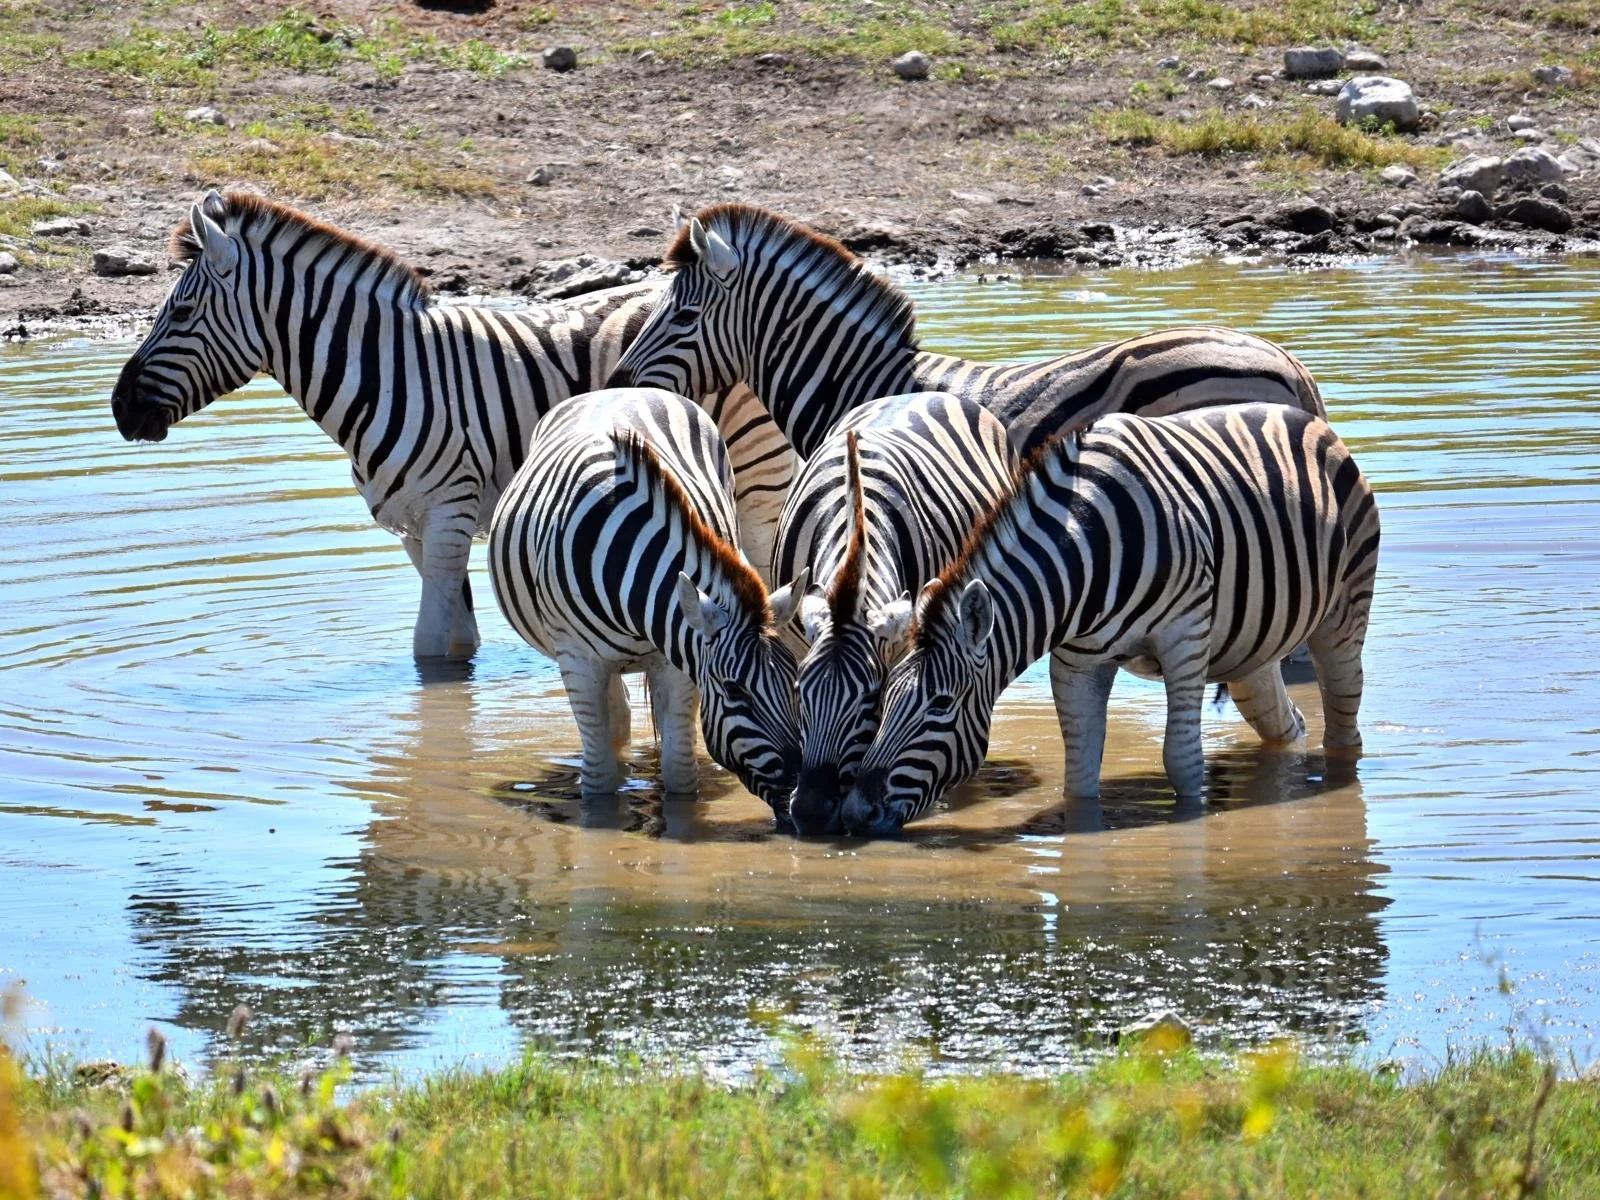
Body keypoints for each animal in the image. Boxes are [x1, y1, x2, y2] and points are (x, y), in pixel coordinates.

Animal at [108, 190, 794, 661]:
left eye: (182, 312)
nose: (118, 409)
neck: (388, 371)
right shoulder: (414, 526)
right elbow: (456, 641)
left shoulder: (449, 513)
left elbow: (430, 648)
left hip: (758, 476)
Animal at [487, 387, 807, 805]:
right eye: (734, 689)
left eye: (795, 682)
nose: (800, 795)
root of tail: (620, 389)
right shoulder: (577, 660)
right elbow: (599, 777)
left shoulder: (679, 660)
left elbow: (680, 772)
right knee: (616, 726)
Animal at [838, 402, 1380, 836]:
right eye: (882, 699)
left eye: (942, 705)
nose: (855, 813)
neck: (1084, 546)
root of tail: (1307, 418)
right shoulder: (1075, 663)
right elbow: (1078, 773)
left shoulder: (1185, 639)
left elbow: (1181, 761)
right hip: (1252, 651)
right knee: (1288, 724)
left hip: (1343, 616)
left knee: (1343, 722)